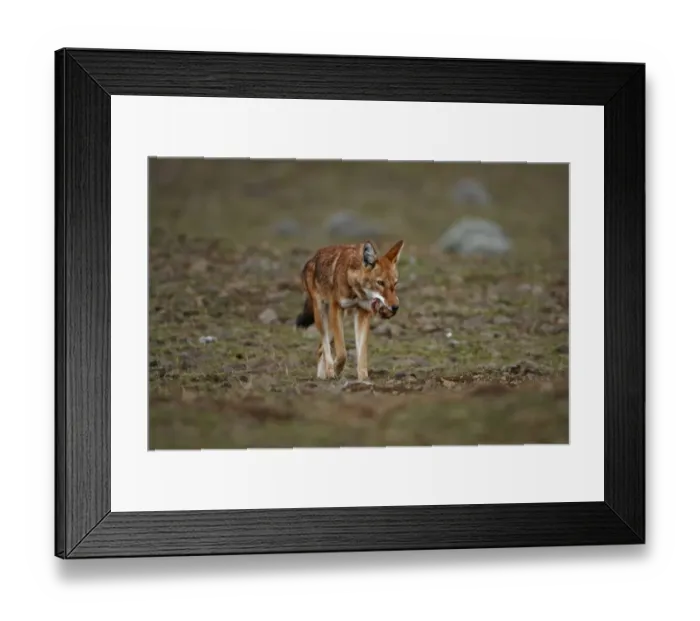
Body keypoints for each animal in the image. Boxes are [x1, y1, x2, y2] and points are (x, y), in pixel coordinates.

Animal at [295, 239, 404, 382]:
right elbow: (342, 353)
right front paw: (336, 370)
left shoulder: (362, 313)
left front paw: (363, 379)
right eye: (380, 283)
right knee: (325, 346)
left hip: (333, 323)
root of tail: (312, 259)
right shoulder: (336, 308)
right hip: (322, 315)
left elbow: (362, 355)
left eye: (395, 284)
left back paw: (322, 376)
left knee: (320, 349)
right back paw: (329, 371)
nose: (395, 307)